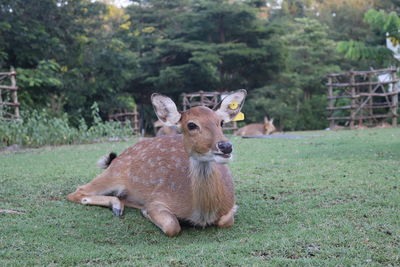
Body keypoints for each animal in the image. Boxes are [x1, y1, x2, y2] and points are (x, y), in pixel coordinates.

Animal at [67, 90, 245, 239]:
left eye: (221, 122)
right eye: (191, 125)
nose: (226, 146)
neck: (202, 213)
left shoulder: (231, 203)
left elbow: (226, 221)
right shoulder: (158, 198)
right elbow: (172, 225)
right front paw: (146, 213)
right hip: (114, 173)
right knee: (77, 191)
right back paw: (117, 206)